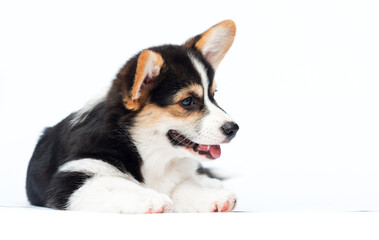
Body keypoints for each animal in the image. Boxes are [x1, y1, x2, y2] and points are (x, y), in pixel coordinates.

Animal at [26, 19, 240, 213]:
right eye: (187, 101)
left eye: (213, 95)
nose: (234, 129)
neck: (149, 154)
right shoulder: (71, 180)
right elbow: (114, 185)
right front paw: (150, 198)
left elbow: (182, 187)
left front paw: (213, 198)